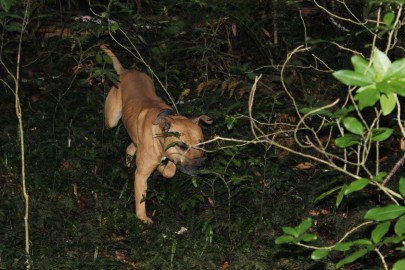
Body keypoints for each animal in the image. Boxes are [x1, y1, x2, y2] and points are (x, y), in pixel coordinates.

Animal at [100, 45, 211, 223]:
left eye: (202, 144)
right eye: (182, 145)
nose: (201, 167)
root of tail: (125, 71)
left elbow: (170, 170)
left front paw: (163, 168)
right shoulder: (141, 176)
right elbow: (140, 202)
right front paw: (143, 219)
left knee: (130, 147)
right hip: (112, 120)